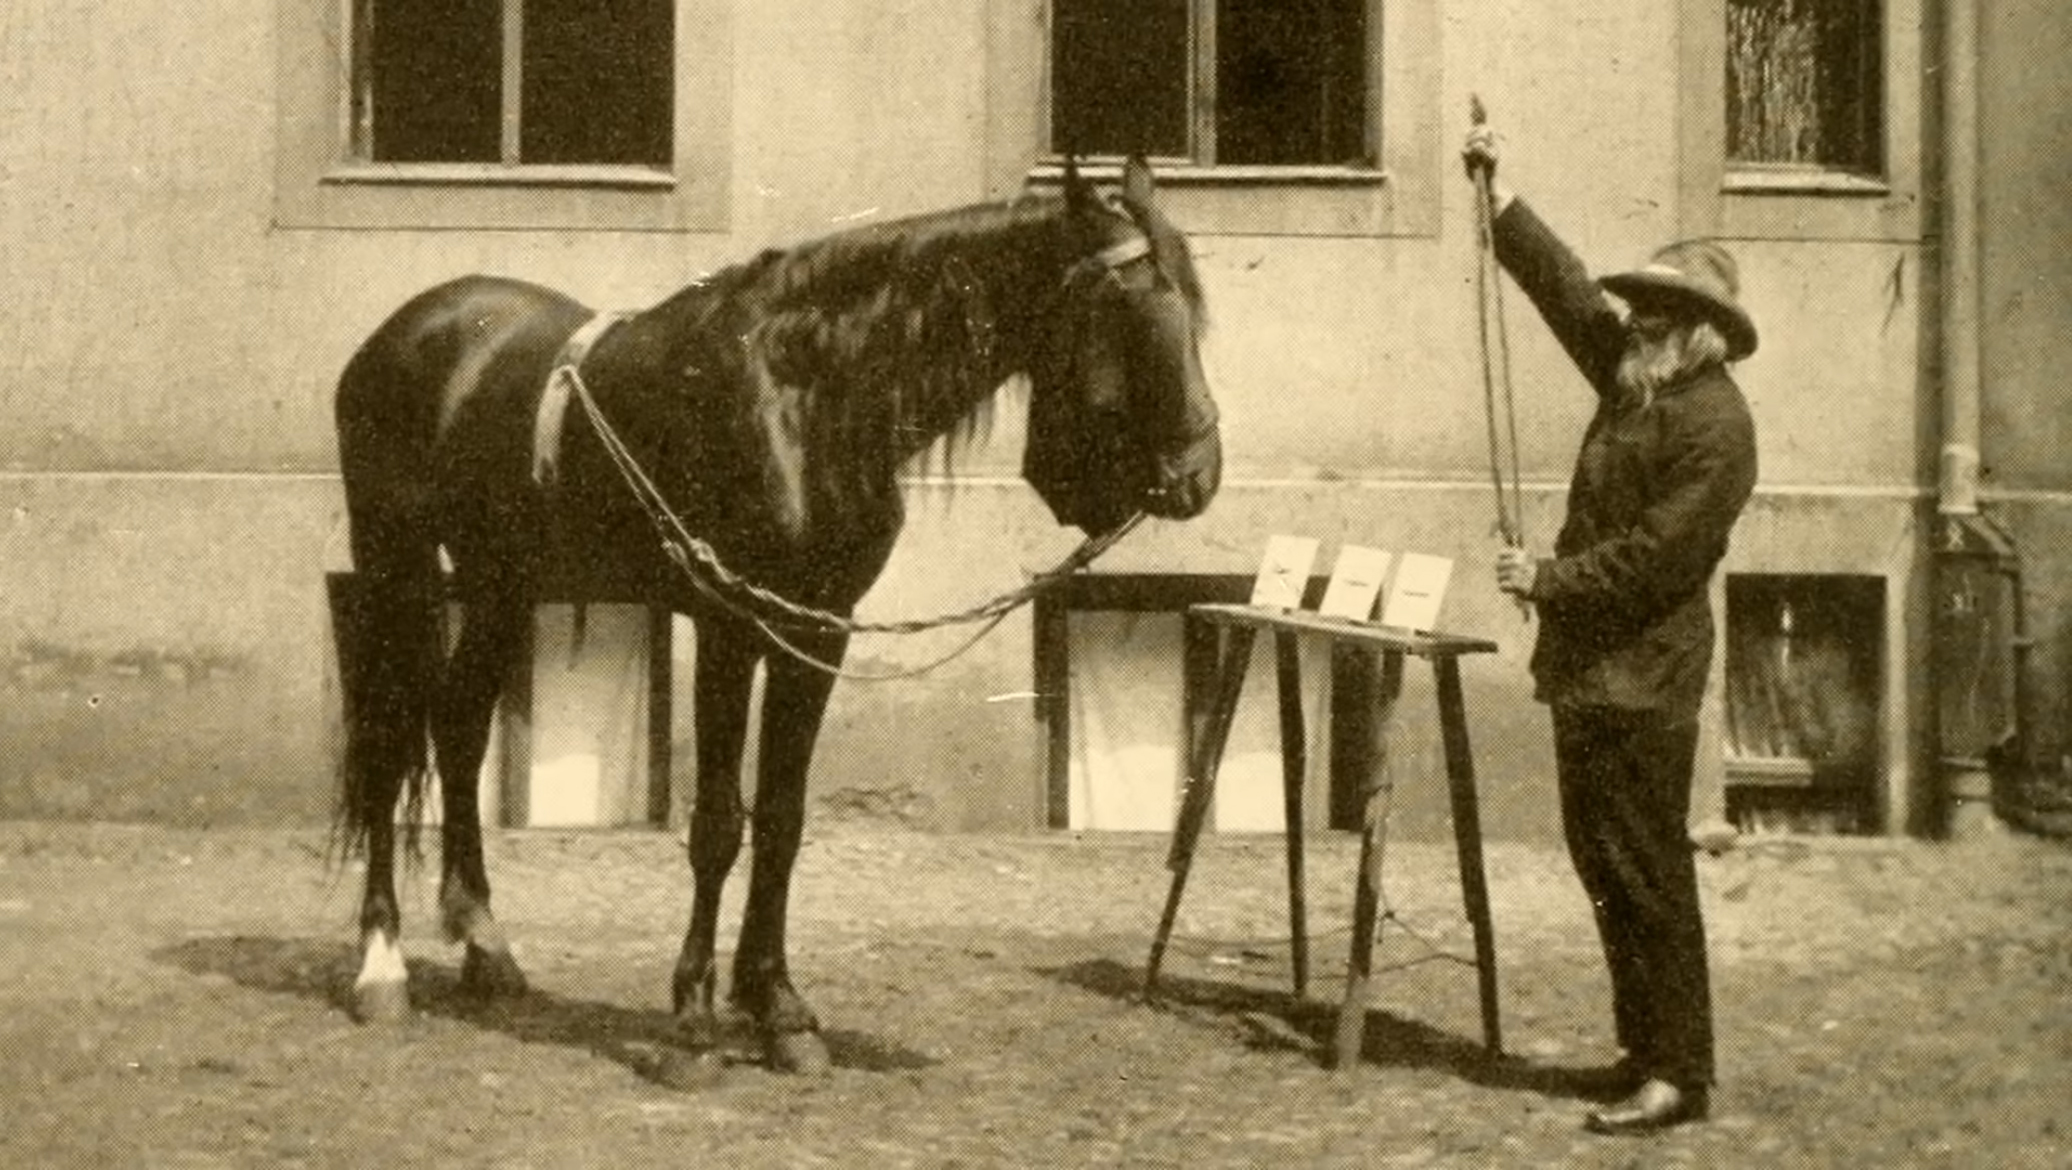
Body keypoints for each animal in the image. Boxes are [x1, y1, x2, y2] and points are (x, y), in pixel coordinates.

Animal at [331, 157, 1222, 1077]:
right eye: (1128, 312)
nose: (1198, 475)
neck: (804, 399)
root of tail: (410, 330)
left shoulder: (815, 630)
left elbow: (783, 820)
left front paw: (779, 1009)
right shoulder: (730, 626)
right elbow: (720, 824)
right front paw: (693, 1019)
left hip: (503, 583)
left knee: (459, 728)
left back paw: (486, 946)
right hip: (398, 569)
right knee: (390, 742)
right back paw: (382, 968)